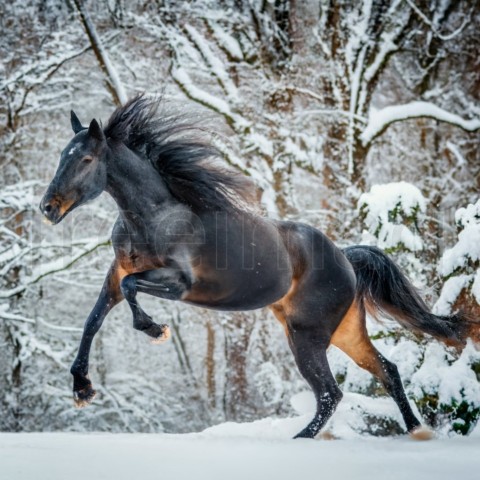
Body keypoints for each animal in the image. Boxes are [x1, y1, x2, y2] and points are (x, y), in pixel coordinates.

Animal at [40, 94, 476, 438]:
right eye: (61, 155)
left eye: (86, 158)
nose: (48, 208)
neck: (156, 217)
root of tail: (346, 258)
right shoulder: (116, 275)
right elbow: (93, 319)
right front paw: (82, 389)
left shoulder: (177, 283)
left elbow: (132, 294)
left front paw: (155, 330)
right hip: (344, 332)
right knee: (387, 371)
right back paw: (416, 431)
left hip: (307, 335)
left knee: (331, 393)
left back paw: (302, 439)